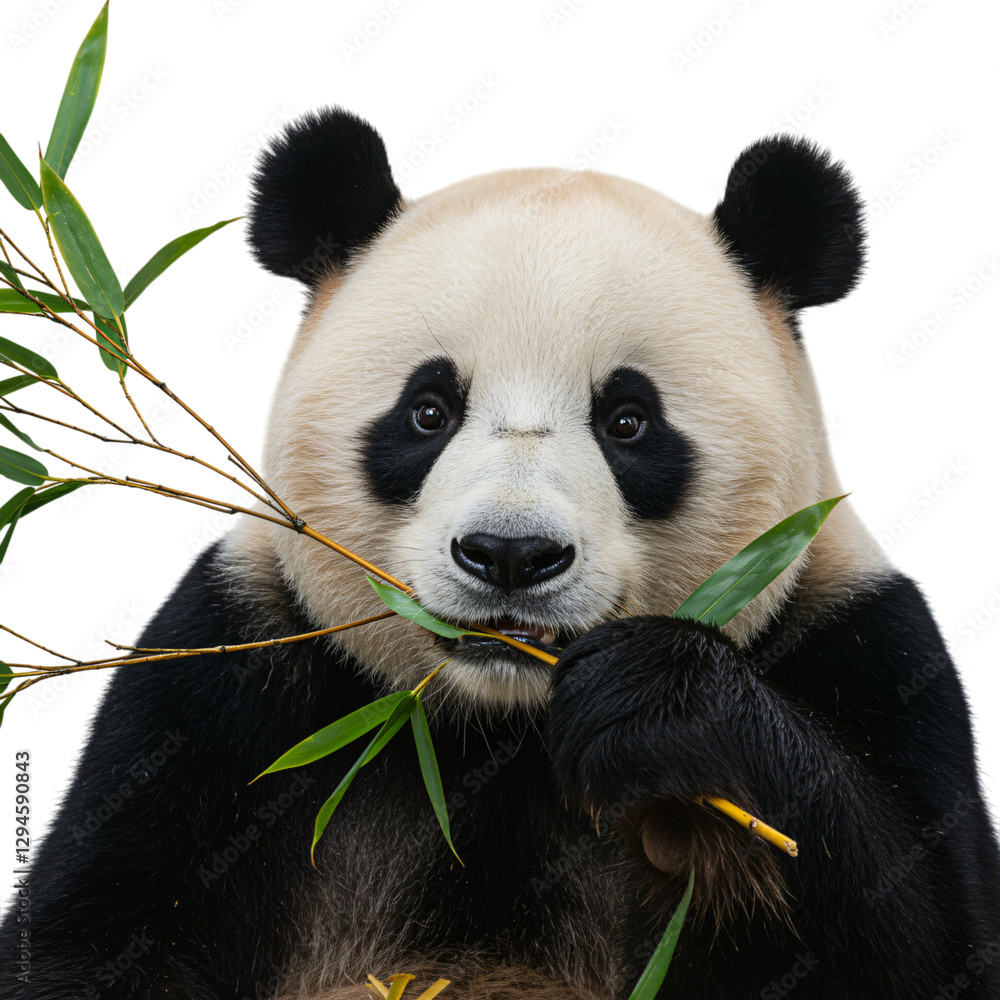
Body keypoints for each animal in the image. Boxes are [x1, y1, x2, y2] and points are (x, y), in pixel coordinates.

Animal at [2, 107, 999, 999]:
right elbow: (92, 936)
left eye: (629, 421)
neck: (498, 728)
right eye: (428, 410)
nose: (511, 555)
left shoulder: (862, 637)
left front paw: (657, 705)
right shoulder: (227, 673)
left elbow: (931, 937)